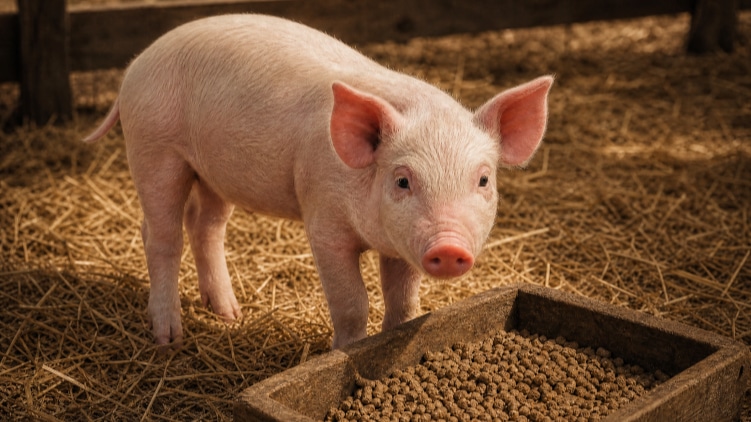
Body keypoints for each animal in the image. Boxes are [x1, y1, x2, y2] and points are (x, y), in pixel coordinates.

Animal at [84, 14, 553, 350]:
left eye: (484, 179)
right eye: (403, 180)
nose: (450, 247)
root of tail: (136, 64)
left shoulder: (403, 245)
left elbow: (404, 303)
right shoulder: (323, 220)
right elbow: (352, 303)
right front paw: (340, 352)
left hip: (214, 171)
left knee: (205, 225)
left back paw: (230, 314)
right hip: (154, 147)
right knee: (160, 235)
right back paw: (169, 338)